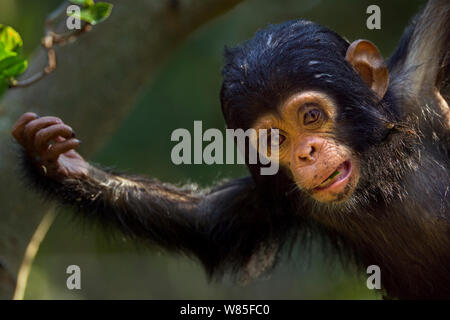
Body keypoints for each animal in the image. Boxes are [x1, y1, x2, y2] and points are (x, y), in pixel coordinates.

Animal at [11, 0, 450, 300]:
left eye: (311, 116)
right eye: (275, 139)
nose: (306, 153)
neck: (380, 172)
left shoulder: (419, 80)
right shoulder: (277, 197)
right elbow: (204, 221)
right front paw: (57, 161)